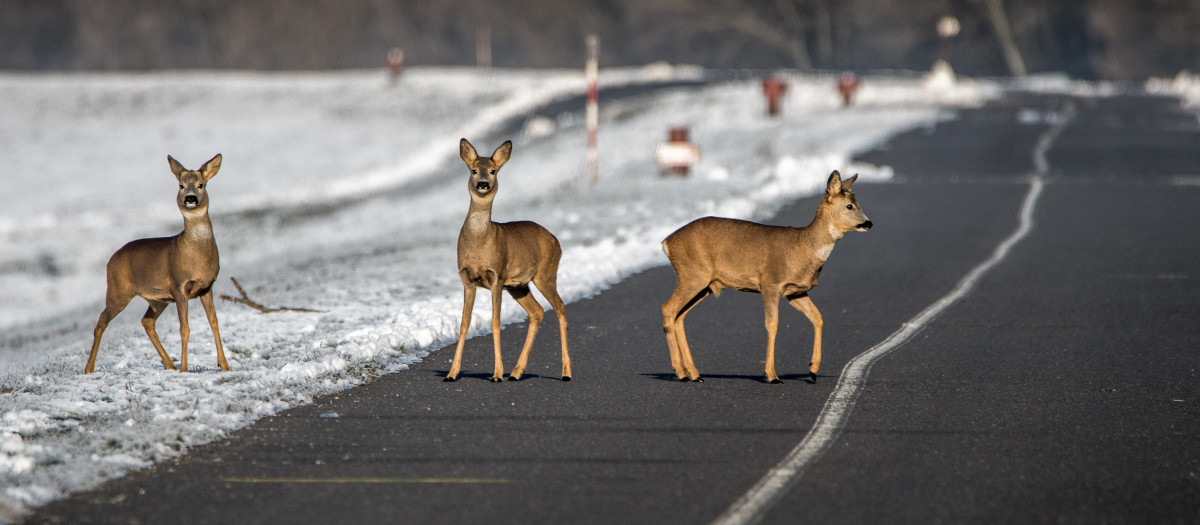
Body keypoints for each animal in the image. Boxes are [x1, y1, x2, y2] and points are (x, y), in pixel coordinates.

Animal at [85, 153, 230, 376]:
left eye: (201, 184)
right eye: (180, 185)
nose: (190, 198)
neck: (195, 255)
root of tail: (110, 260)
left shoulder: (207, 287)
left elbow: (214, 322)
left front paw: (225, 365)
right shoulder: (179, 286)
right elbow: (184, 328)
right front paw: (185, 369)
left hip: (158, 299)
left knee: (146, 321)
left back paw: (169, 364)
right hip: (118, 291)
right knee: (101, 321)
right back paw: (89, 369)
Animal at [446, 140, 571, 381]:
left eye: (493, 171)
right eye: (473, 170)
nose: (483, 183)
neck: (479, 243)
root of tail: (555, 240)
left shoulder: (498, 276)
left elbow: (495, 323)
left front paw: (496, 374)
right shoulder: (466, 279)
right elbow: (464, 323)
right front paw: (452, 373)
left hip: (545, 274)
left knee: (559, 307)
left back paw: (566, 372)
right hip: (519, 286)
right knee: (537, 312)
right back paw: (516, 372)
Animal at [657, 170, 873, 383]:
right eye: (849, 205)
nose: (868, 223)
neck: (803, 247)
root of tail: (666, 243)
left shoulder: (795, 292)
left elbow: (817, 317)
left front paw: (813, 371)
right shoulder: (770, 283)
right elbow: (772, 324)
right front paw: (772, 375)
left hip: (705, 285)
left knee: (679, 315)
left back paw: (693, 374)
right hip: (693, 275)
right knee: (668, 308)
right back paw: (680, 373)